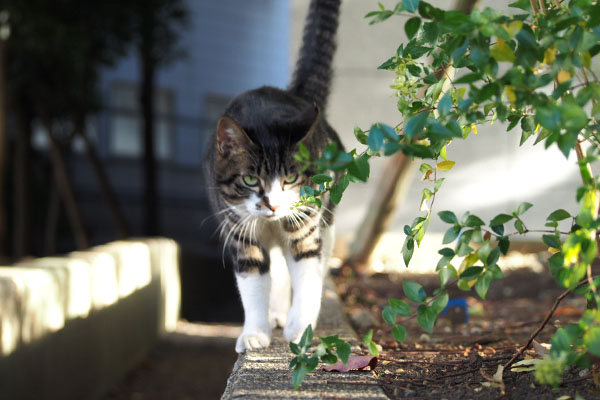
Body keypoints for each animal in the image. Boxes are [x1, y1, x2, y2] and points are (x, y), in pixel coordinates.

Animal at [204, 0, 342, 352]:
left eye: (290, 179)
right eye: (251, 180)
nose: (273, 205)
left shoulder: (306, 229)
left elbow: (307, 279)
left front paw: (301, 330)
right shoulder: (241, 233)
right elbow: (253, 285)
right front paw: (254, 333)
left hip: (326, 218)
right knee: (278, 270)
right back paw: (277, 313)